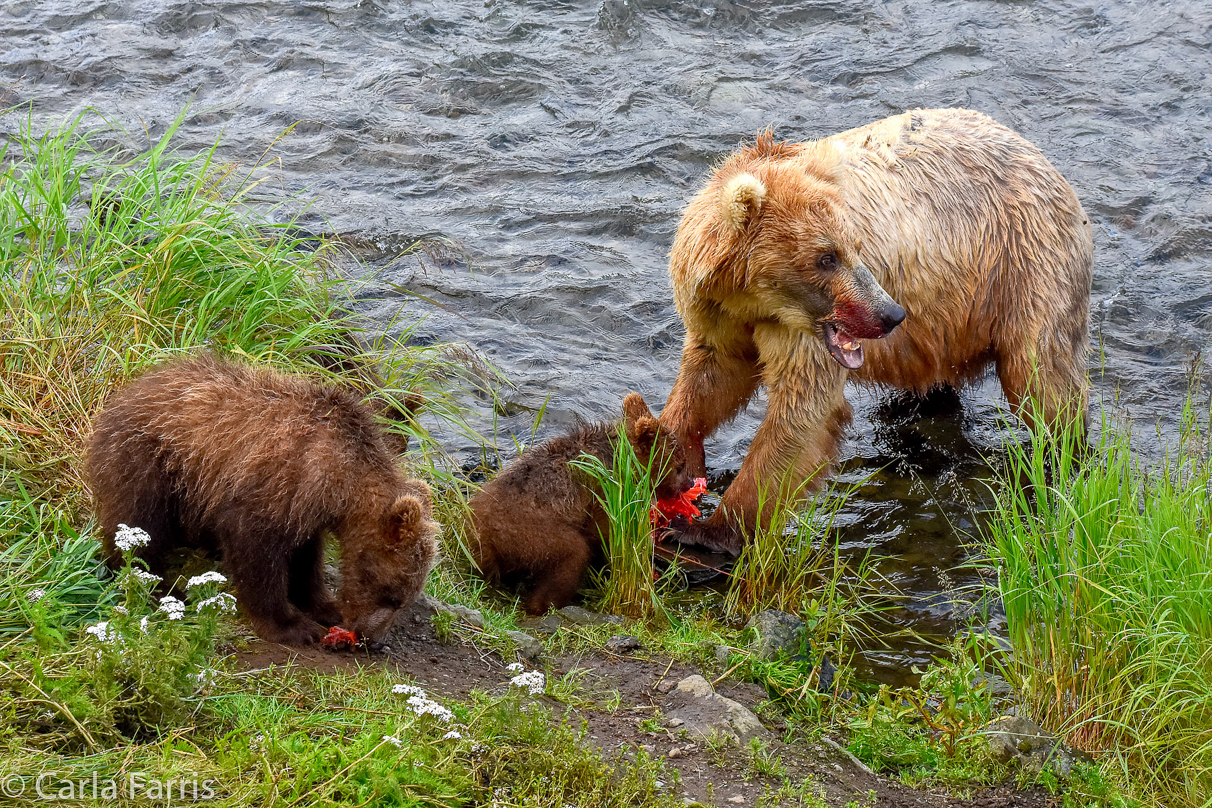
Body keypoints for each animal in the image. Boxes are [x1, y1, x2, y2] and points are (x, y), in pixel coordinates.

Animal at [664, 109, 1100, 557]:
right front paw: (669, 461)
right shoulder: (717, 315)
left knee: (1042, 378)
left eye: (853, 247)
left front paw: (711, 531)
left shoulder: (802, 334)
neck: (753, 300)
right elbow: (710, 379)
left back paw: (1061, 457)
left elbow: (801, 413)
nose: (890, 313)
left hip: (1026, 265)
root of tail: (1040, 157)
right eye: (826, 257)